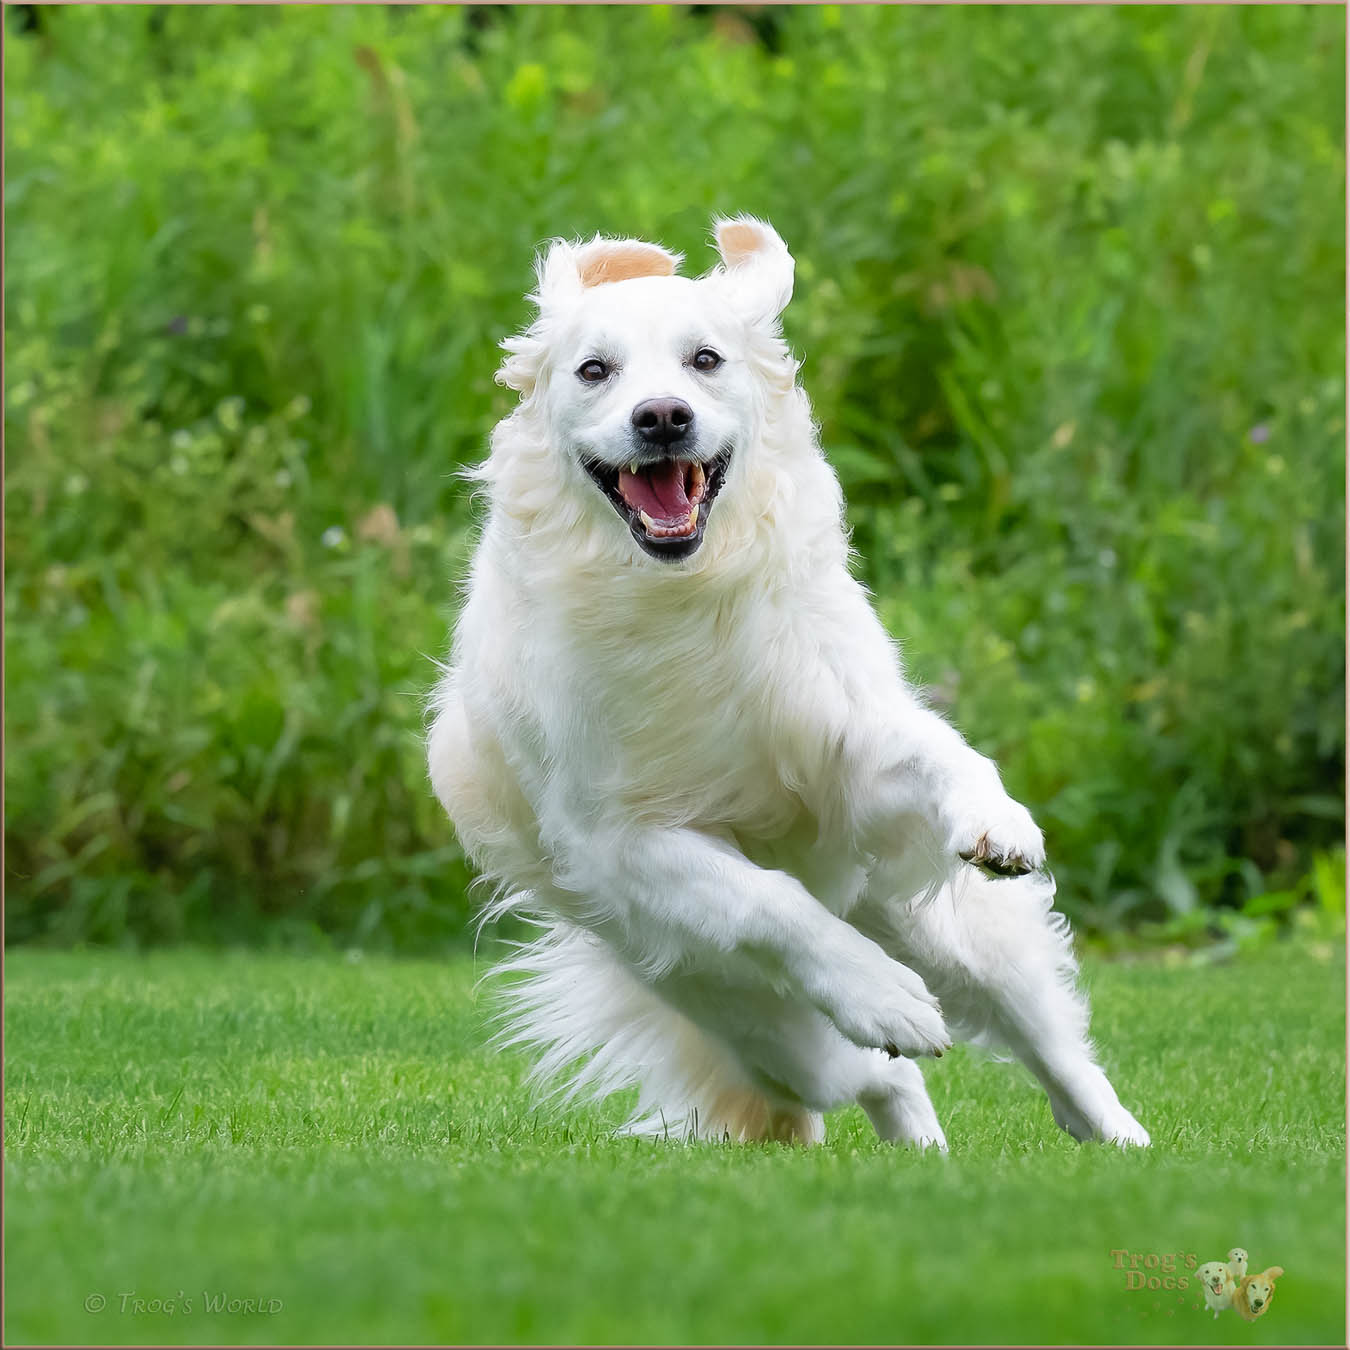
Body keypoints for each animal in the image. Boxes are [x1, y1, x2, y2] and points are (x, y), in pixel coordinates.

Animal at [429, 213, 1150, 1150]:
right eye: (595, 370)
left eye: (705, 359)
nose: (663, 417)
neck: (685, 596)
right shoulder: (621, 841)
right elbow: (769, 904)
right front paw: (883, 997)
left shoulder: (845, 742)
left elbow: (943, 753)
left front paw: (997, 821)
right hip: (761, 1022)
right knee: (877, 1072)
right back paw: (912, 1089)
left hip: (946, 931)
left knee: (1051, 1045)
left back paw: (1119, 1138)